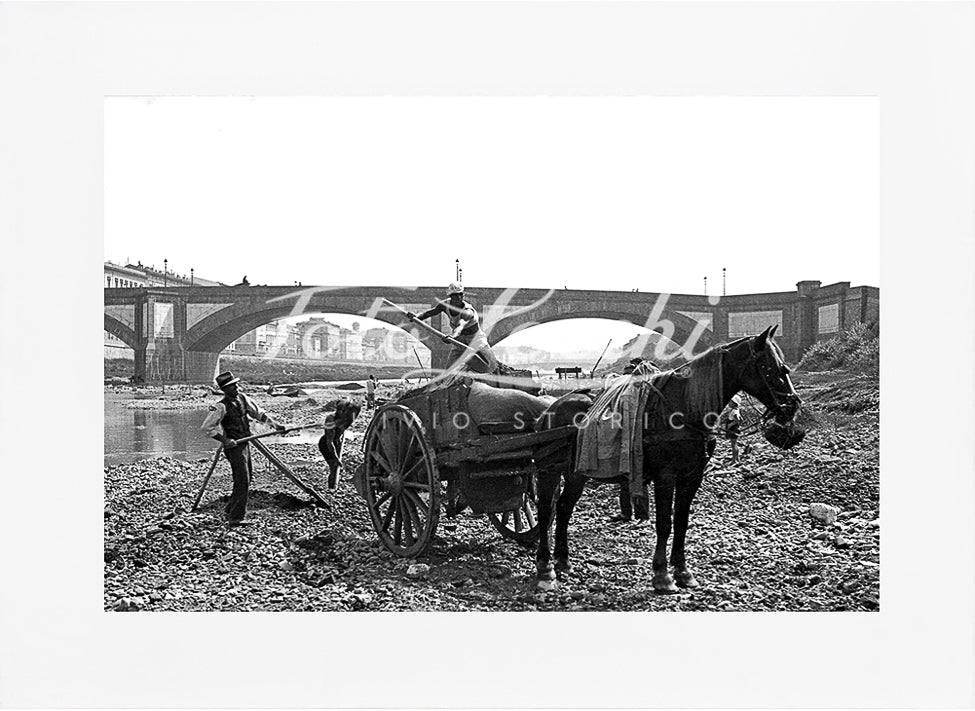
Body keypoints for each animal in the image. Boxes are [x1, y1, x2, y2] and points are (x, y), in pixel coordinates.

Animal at [532, 326, 800, 592]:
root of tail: (549, 409)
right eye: (771, 367)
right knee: (546, 511)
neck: (685, 409)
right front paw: (662, 574)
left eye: (784, 367)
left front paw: (682, 570)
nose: (793, 406)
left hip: (576, 473)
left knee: (564, 507)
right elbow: (664, 522)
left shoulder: (692, 476)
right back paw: (545, 567)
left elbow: (681, 521)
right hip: (549, 470)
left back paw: (563, 560)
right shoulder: (665, 475)